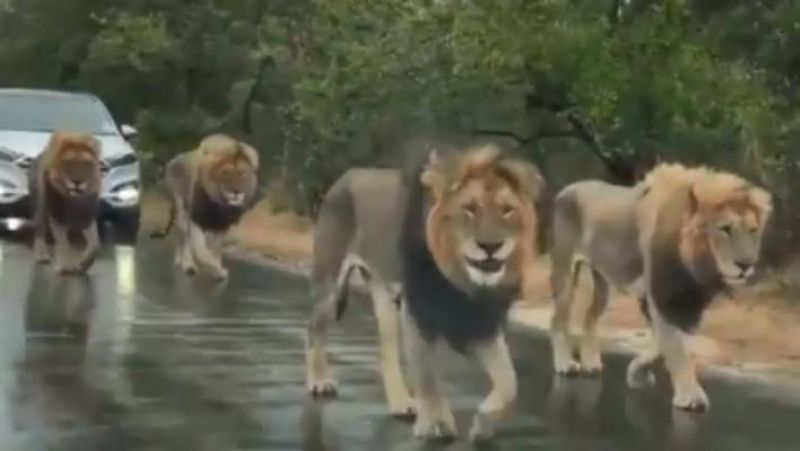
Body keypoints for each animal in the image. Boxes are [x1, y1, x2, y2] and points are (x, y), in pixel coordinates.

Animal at [30, 131, 103, 275]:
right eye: (68, 163)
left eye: (86, 164)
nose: (77, 182)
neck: (74, 200)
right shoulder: (57, 215)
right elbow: (63, 242)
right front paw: (66, 266)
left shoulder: (87, 216)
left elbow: (95, 245)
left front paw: (83, 264)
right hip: (41, 207)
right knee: (40, 230)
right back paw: (42, 256)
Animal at [152, 134, 259, 280]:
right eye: (226, 173)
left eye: (242, 174)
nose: (236, 192)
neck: (220, 205)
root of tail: (172, 161)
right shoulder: (194, 219)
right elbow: (201, 251)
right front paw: (217, 268)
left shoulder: (221, 227)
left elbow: (215, 250)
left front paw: (217, 270)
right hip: (181, 209)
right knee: (183, 238)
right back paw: (187, 265)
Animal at [305, 139, 543, 441]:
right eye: (469, 209)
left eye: (507, 210)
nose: (491, 246)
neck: (463, 280)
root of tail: (348, 173)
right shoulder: (417, 311)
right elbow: (427, 374)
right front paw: (435, 424)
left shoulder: (480, 323)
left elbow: (509, 382)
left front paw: (481, 424)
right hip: (329, 281)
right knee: (314, 331)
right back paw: (319, 382)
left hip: (385, 295)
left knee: (385, 352)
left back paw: (402, 404)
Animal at [549, 162, 773, 412]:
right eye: (725, 228)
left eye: (753, 230)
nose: (746, 264)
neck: (696, 263)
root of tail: (567, 188)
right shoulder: (660, 298)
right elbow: (677, 349)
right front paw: (690, 396)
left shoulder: (687, 304)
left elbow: (665, 345)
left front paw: (637, 372)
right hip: (566, 272)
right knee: (558, 320)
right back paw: (565, 364)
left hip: (603, 282)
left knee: (589, 318)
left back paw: (591, 363)